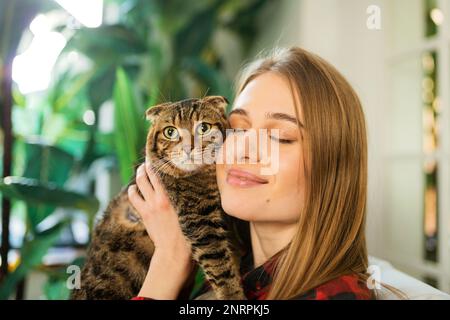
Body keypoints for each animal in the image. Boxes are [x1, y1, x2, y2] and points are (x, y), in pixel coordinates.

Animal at [71, 95, 246, 300]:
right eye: (170, 132)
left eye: (204, 128)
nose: (188, 148)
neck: (203, 177)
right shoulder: (199, 222)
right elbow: (219, 265)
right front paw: (232, 295)